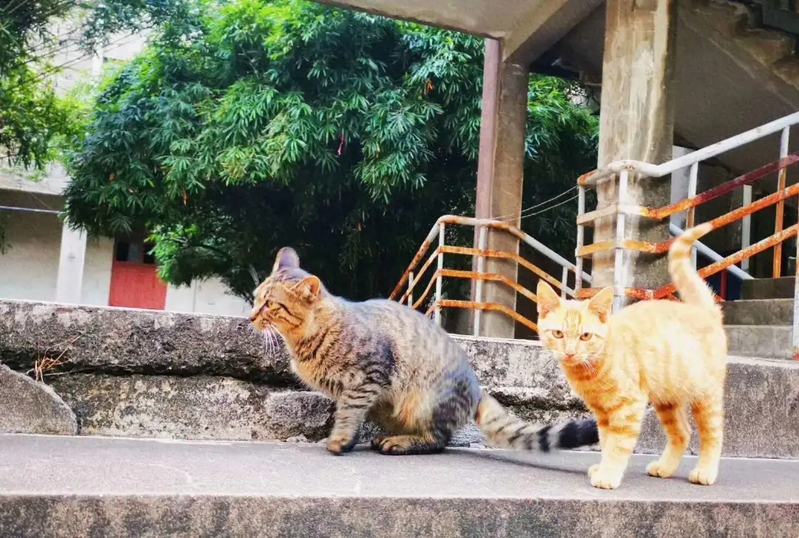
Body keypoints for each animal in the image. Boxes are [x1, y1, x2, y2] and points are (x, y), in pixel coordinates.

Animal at [249, 246, 599, 456]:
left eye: (270, 305)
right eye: (255, 298)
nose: (251, 316)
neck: (305, 339)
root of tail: (477, 389)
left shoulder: (368, 375)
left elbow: (348, 412)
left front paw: (339, 441)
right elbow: (346, 411)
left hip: (426, 402)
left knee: (438, 440)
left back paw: (398, 442)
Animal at [536, 222, 727, 490]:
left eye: (585, 336)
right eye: (558, 333)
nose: (570, 352)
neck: (593, 368)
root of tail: (704, 312)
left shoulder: (628, 407)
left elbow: (618, 445)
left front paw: (608, 474)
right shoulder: (602, 413)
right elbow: (606, 441)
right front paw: (602, 467)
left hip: (705, 395)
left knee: (713, 433)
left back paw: (705, 471)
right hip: (667, 399)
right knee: (682, 432)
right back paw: (665, 467)